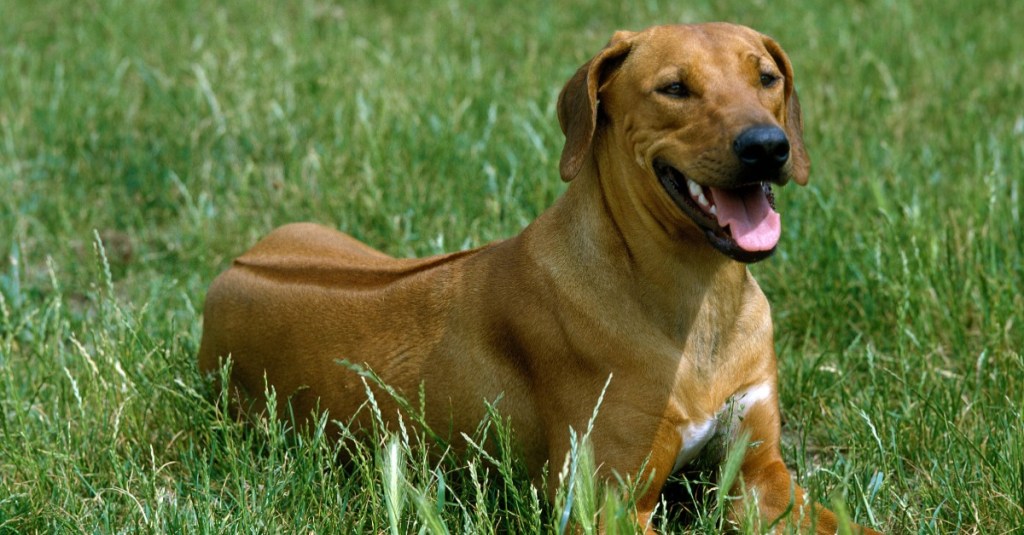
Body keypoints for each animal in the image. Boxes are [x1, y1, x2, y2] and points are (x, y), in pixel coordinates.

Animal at [197, 22, 880, 528]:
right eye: (674, 88)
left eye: (766, 77)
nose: (767, 146)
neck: (702, 299)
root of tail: (231, 269)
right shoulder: (608, 504)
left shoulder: (763, 479)